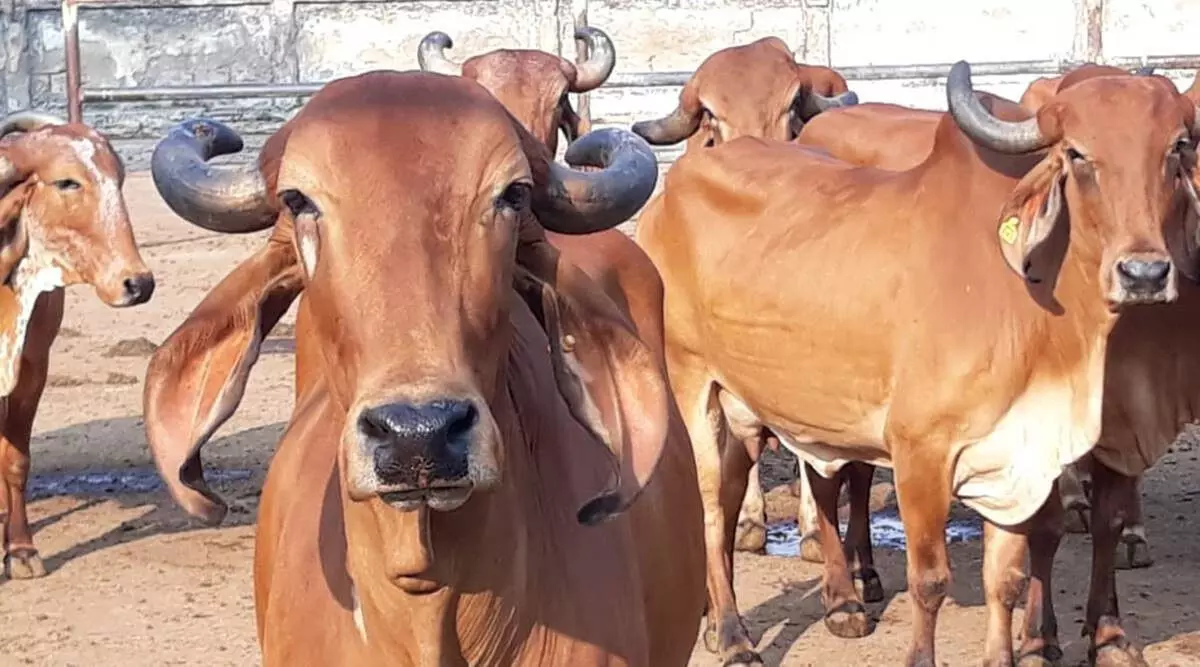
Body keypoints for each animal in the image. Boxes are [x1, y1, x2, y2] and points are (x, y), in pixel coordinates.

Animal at [0, 112, 154, 581]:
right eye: (67, 182)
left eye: (119, 178)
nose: (137, 283)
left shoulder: (32, 366)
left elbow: (14, 459)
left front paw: (20, 550)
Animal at [635, 59, 1200, 666]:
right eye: (1076, 153)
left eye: (1177, 147)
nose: (1144, 274)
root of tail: (677, 183)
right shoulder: (920, 454)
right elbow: (930, 580)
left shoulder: (1015, 456)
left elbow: (1007, 577)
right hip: (692, 385)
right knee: (711, 509)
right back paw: (738, 635)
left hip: (749, 404)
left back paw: (721, 621)